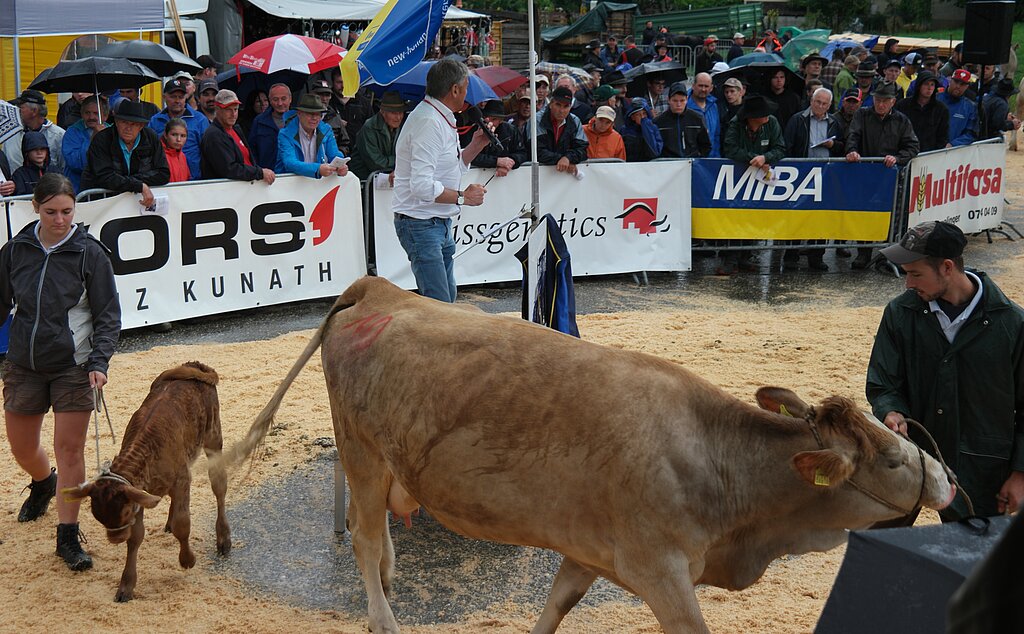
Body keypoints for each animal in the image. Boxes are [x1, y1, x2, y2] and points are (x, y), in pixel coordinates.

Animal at [66, 362, 230, 602]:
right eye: (98, 516)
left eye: (124, 513)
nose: (115, 538)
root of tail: (193, 364)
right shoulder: (139, 494)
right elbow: (136, 537)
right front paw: (126, 586)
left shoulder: (181, 480)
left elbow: (183, 524)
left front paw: (187, 560)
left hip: (213, 437)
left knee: (219, 487)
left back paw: (224, 539)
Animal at [220, 280, 954, 634]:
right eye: (892, 461)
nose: (947, 478)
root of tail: (377, 289)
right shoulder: (664, 573)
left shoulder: (588, 552)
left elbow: (554, 611)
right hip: (363, 451)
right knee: (364, 539)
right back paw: (383, 619)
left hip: (384, 459)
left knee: (374, 536)